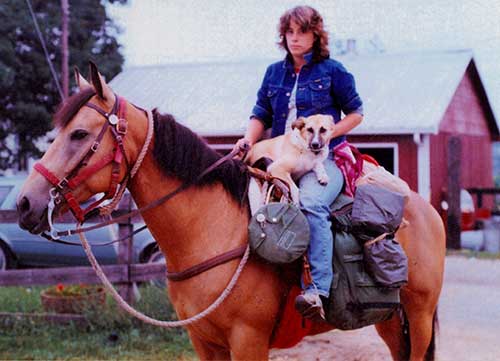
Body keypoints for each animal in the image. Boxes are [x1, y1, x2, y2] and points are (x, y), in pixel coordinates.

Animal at [16, 63, 446, 358]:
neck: (211, 230)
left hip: (420, 316)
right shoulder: (204, 341)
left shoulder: (248, 341)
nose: (25, 203)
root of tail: (426, 210)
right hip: (390, 320)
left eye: (80, 133)